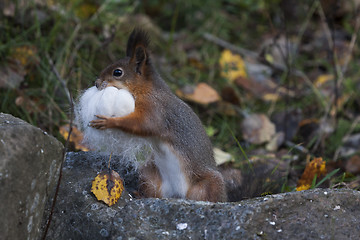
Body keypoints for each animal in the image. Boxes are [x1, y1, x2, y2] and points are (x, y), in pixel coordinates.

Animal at [88, 28, 226, 202]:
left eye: (117, 72)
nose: (97, 83)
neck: (145, 90)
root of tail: (178, 194)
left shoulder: (156, 109)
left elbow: (146, 124)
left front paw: (109, 122)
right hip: (150, 175)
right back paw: (140, 194)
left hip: (209, 184)